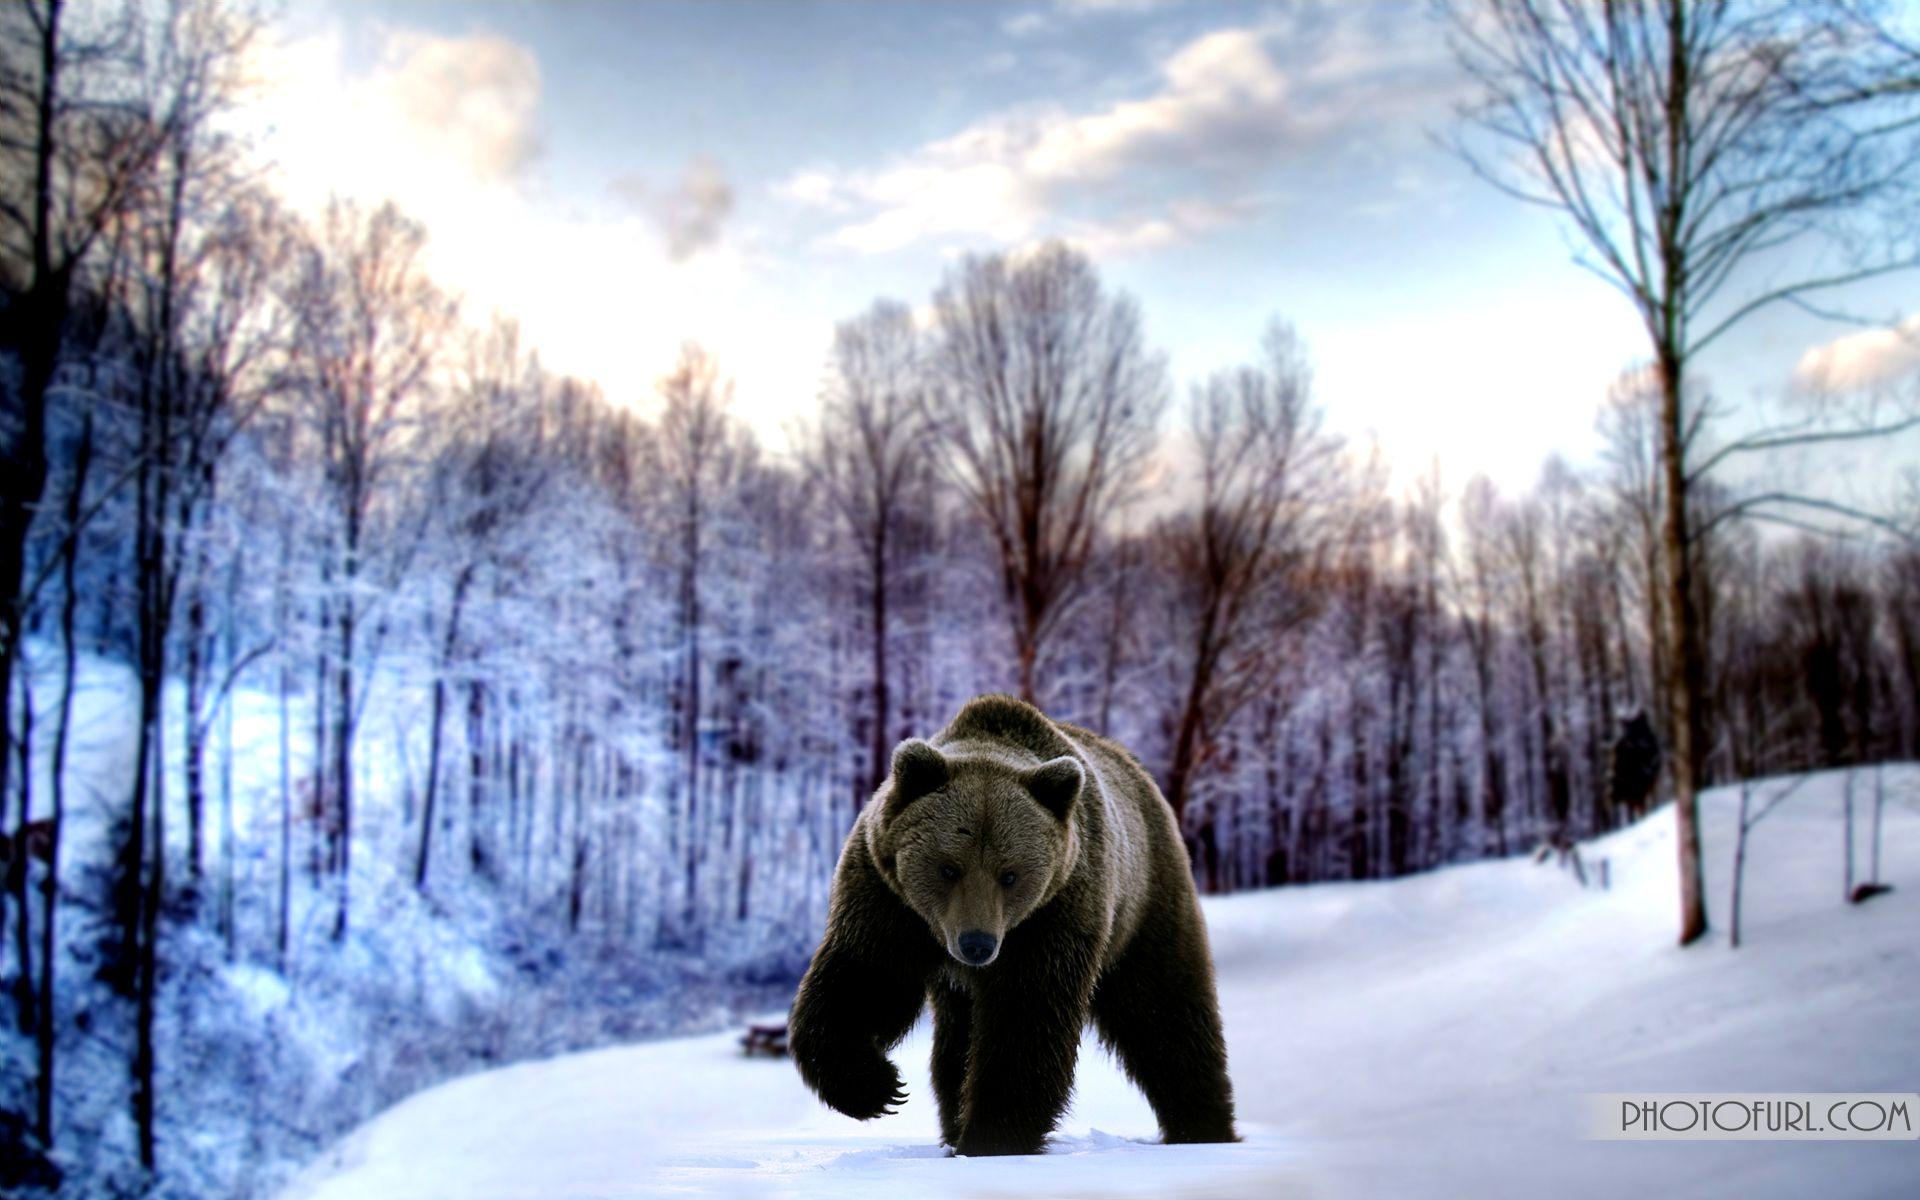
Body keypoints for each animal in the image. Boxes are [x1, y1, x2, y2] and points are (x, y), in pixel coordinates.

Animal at [788, 693, 1237, 1156]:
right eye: (949, 868)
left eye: (1010, 874)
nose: (977, 944)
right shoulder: (887, 899)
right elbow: (865, 981)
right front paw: (875, 1087)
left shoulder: (1054, 914)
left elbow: (1026, 1021)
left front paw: (992, 1137)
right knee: (955, 1046)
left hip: (1144, 905)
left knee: (1164, 1013)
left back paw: (1203, 1128)